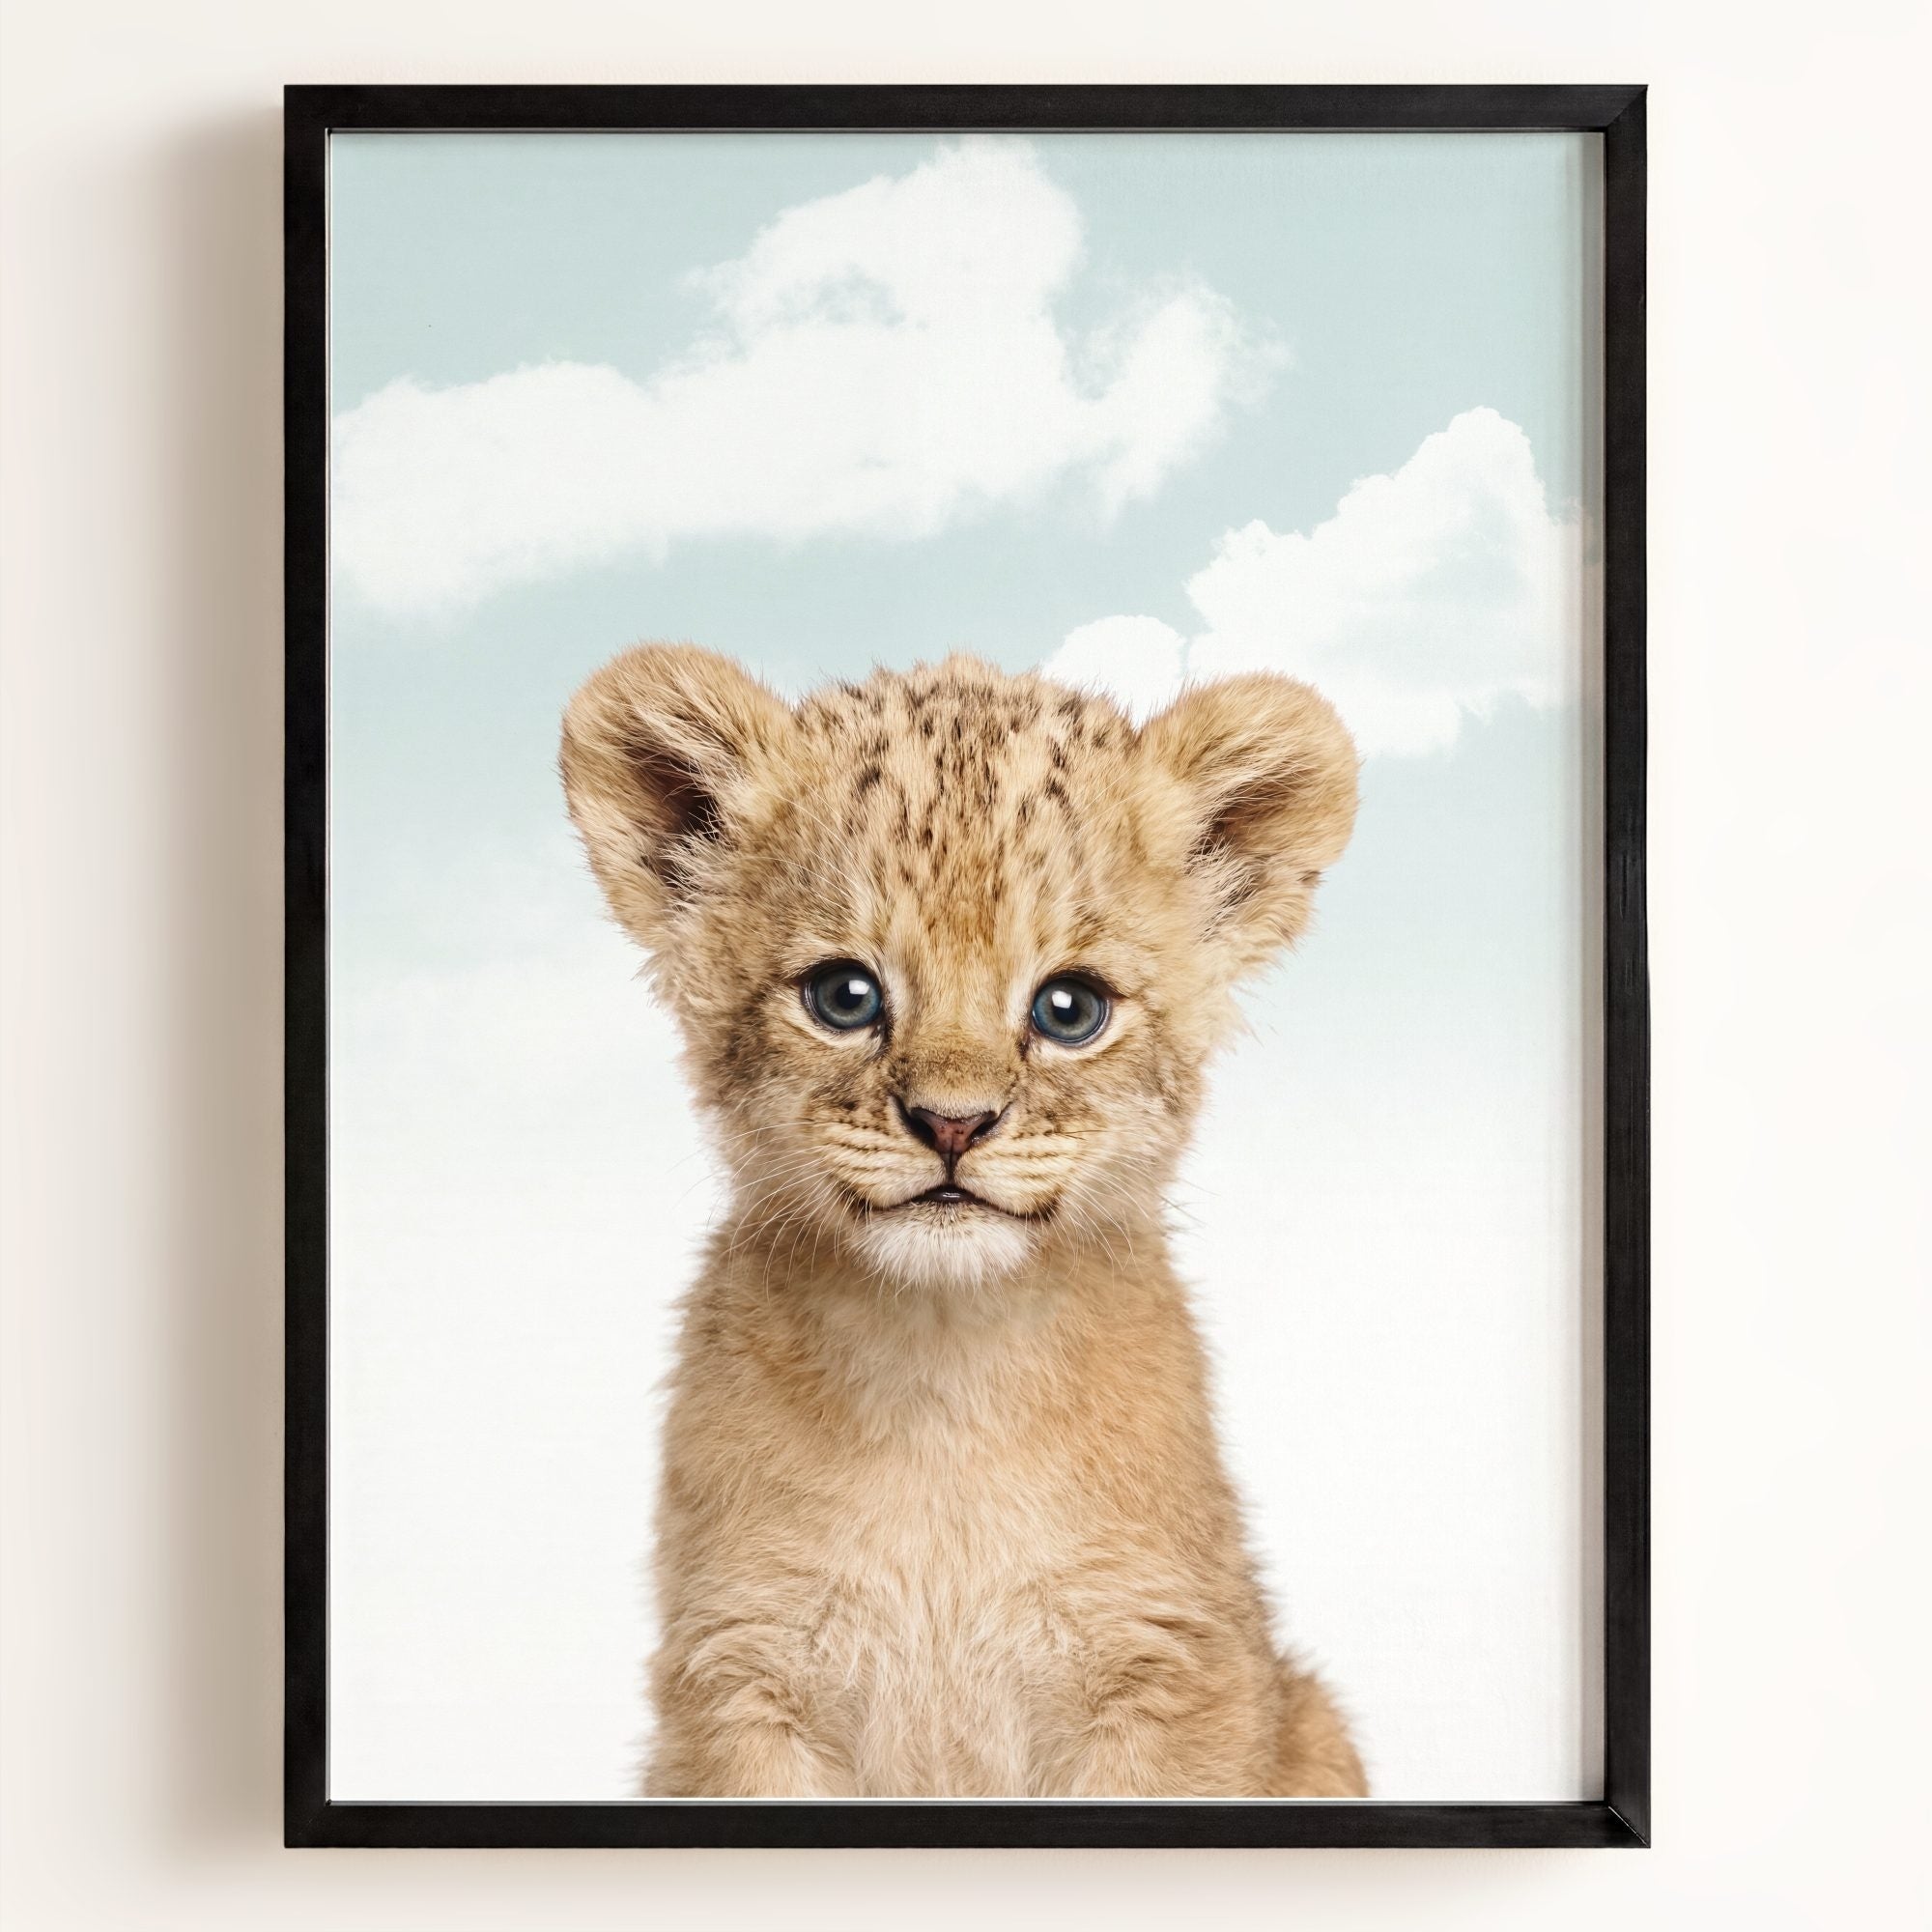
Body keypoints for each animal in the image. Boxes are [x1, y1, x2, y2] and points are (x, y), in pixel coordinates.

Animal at [561, 644, 1365, 1798]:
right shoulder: (740, 1676)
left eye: (1069, 1008)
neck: (942, 1375)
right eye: (843, 996)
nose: (952, 1122)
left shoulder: (1167, 1669)